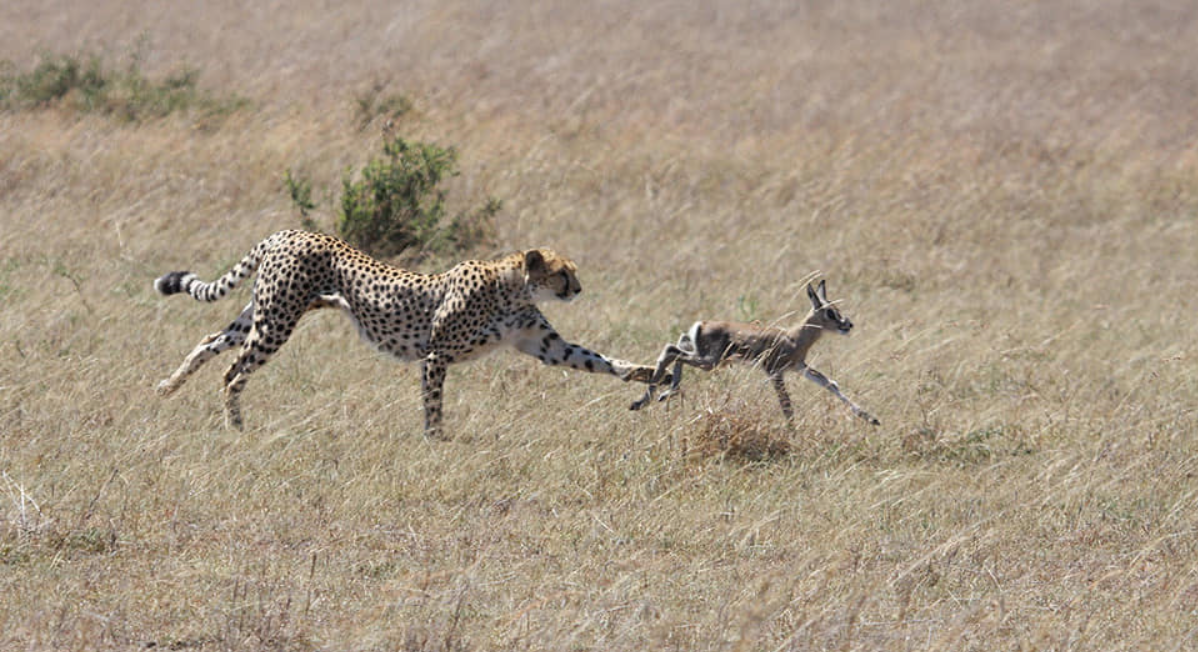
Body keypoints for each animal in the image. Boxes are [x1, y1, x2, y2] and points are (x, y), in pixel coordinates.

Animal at [153, 228, 656, 438]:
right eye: (562, 273)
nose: (579, 288)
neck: (511, 287)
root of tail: (289, 231)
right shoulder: (436, 355)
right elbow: (433, 404)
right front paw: (437, 441)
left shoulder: (542, 344)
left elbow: (592, 358)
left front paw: (645, 372)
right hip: (277, 321)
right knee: (234, 371)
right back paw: (235, 426)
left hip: (262, 314)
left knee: (209, 342)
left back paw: (167, 387)